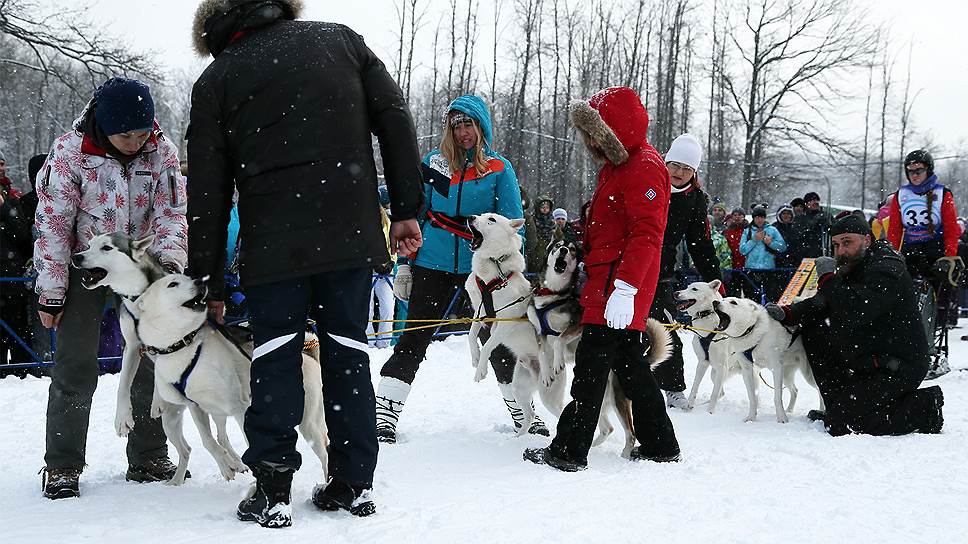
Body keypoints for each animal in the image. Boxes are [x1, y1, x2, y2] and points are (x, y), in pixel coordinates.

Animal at [132, 274, 330, 482]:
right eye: (172, 283)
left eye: (187, 277)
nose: (201, 282)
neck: (185, 345)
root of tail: (308, 355)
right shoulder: (197, 407)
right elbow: (208, 440)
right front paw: (227, 466)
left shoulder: (239, 408)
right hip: (182, 420)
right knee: (199, 446)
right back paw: (179, 480)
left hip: (308, 423)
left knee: (324, 452)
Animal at [466, 211, 564, 434]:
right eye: (481, 215)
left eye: (491, 219)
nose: (471, 217)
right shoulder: (479, 311)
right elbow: (470, 334)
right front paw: (475, 357)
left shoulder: (504, 323)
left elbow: (488, 346)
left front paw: (480, 369)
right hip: (519, 387)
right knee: (530, 415)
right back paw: (518, 437)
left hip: (548, 395)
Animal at [672, 280, 740, 412]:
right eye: (687, 287)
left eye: (694, 289)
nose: (675, 293)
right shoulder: (702, 362)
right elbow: (695, 386)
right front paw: (689, 405)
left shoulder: (722, 366)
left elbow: (714, 393)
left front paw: (710, 413)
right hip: (715, 373)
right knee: (721, 393)